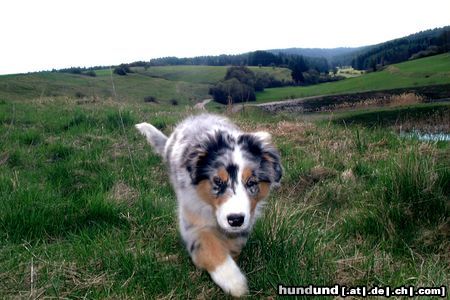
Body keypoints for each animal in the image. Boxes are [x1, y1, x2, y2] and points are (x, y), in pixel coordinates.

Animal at [134, 113, 282, 296]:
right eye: (217, 181)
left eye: (251, 182)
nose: (235, 219)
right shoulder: (192, 217)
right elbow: (208, 245)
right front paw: (233, 281)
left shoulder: (246, 220)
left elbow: (234, 244)